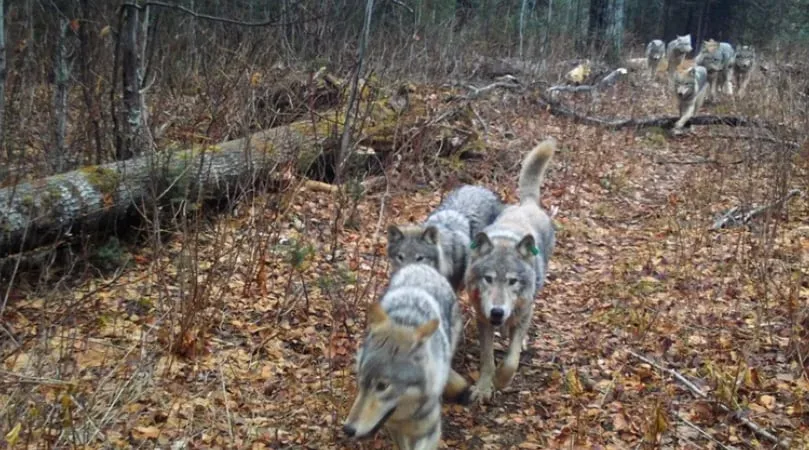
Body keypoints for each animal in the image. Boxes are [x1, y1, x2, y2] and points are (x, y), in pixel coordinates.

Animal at [342, 264, 468, 449]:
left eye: (382, 386)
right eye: (361, 381)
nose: (348, 429)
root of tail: (421, 266)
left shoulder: (430, 432)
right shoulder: (395, 430)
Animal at [464, 139, 556, 403]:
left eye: (513, 281)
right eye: (488, 279)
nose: (497, 311)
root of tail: (527, 204)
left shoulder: (524, 311)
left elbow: (511, 361)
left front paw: (501, 381)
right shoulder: (482, 318)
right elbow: (487, 359)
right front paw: (484, 388)